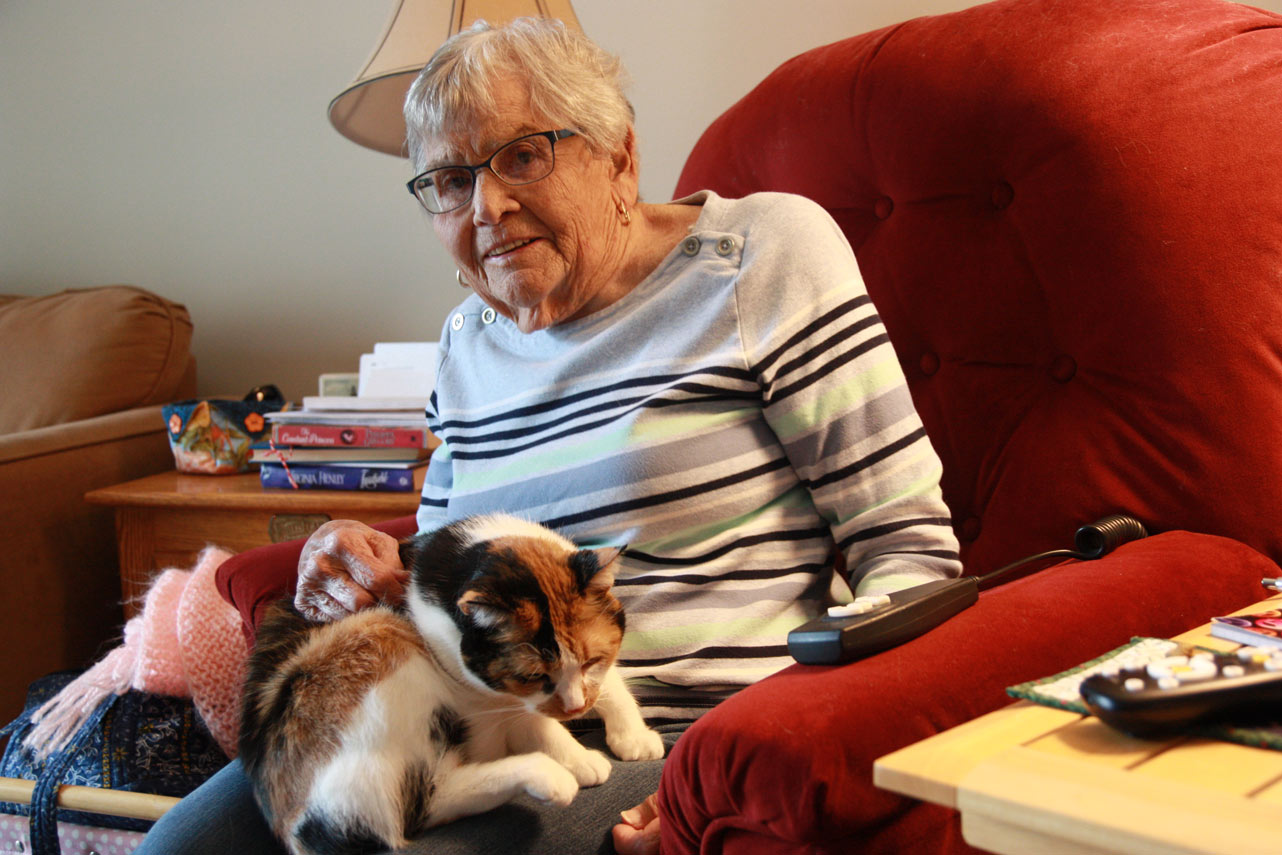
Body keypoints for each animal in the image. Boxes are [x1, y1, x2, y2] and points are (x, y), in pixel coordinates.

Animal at [238, 515, 671, 855]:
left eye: (590, 660)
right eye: (532, 677)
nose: (575, 708)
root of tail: (294, 827)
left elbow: (611, 686)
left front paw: (633, 736)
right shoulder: (495, 694)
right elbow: (535, 722)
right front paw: (578, 759)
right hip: (381, 635)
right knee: (413, 808)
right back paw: (547, 775)